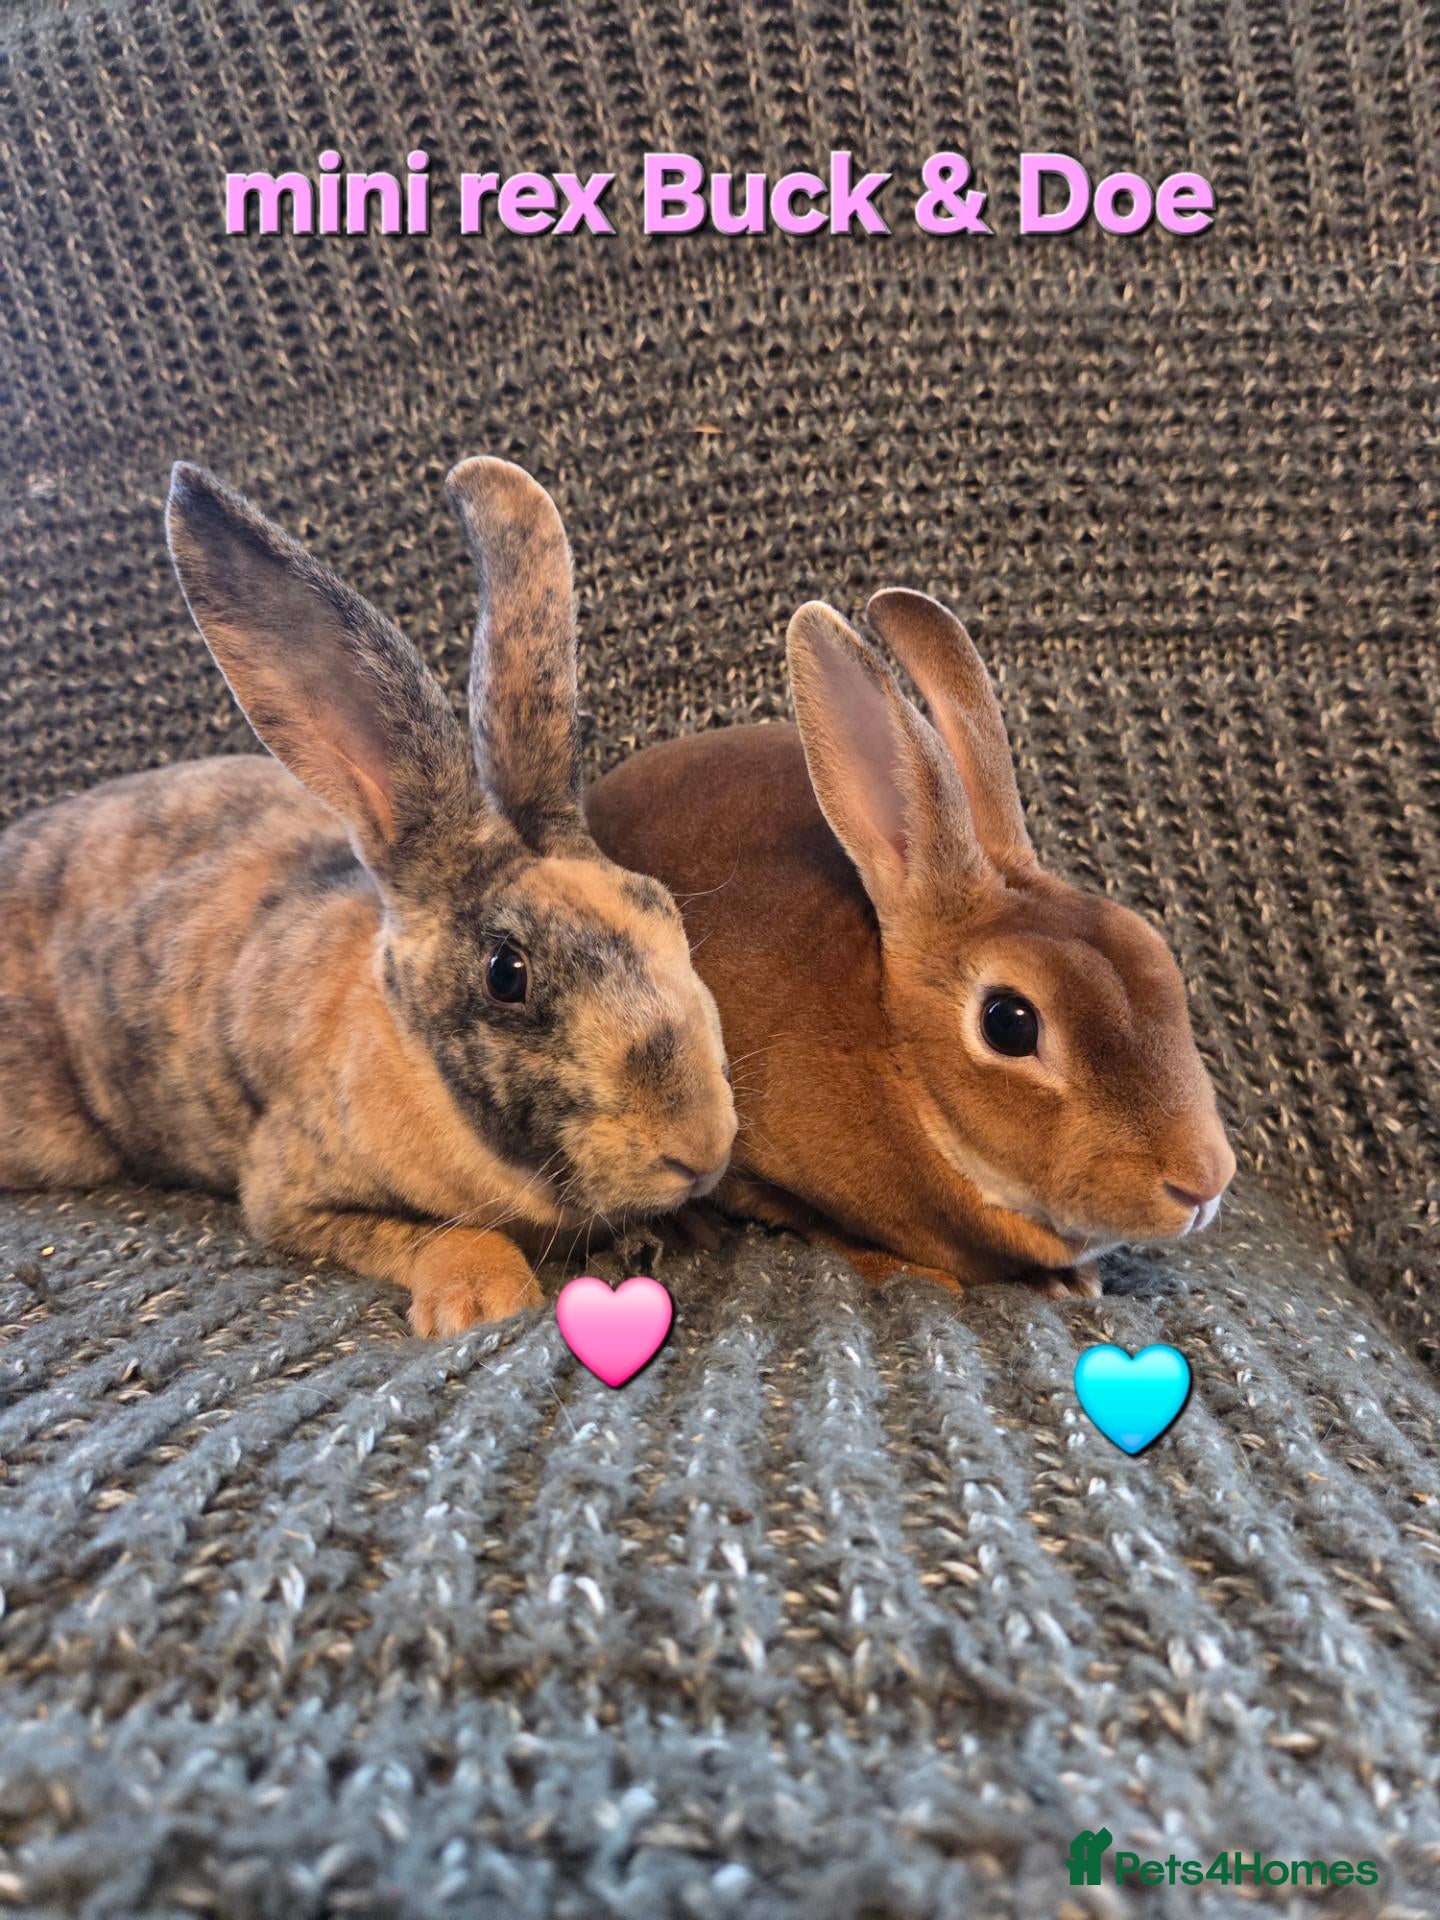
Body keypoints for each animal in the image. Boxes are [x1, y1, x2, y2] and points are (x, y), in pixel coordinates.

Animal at [0, 458, 736, 1335]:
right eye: (507, 973)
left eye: (660, 908)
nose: (703, 1147)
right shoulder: (288, 1194)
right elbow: (431, 1235)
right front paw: (484, 1300)